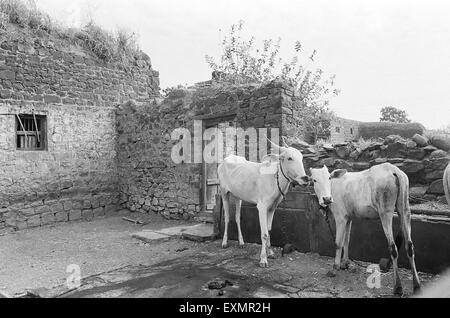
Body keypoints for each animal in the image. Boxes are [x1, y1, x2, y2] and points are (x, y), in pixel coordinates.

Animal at [218, 140, 310, 268]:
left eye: (301, 157)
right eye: (289, 158)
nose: (305, 178)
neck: (274, 179)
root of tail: (225, 160)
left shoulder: (272, 208)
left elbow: (269, 230)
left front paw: (270, 253)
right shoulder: (261, 207)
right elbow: (264, 233)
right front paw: (263, 259)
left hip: (238, 196)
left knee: (237, 217)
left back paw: (241, 242)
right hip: (224, 192)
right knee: (227, 217)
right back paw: (224, 242)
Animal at [312, 164, 420, 296]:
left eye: (329, 178)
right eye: (314, 180)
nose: (326, 199)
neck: (333, 187)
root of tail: (394, 170)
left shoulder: (340, 217)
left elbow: (338, 243)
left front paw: (334, 268)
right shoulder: (349, 217)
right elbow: (346, 240)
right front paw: (345, 263)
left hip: (385, 212)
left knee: (393, 248)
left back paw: (398, 287)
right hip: (404, 209)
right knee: (409, 246)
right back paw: (416, 285)